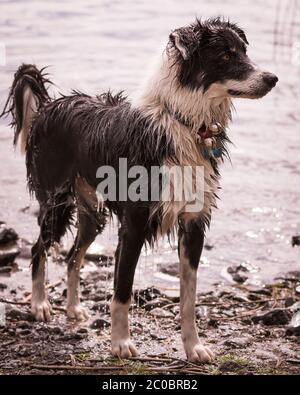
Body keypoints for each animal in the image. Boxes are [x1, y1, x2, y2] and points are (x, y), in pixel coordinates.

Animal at [0, 18, 278, 366]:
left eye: (243, 51)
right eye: (226, 55)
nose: (273, 78)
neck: (185, 124)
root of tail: (50, 105)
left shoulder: (194, 224)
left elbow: (189, 299)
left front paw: (193, 347)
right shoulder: (133, 225)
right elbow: (122, 291)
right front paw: (120, 344)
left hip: (93, 215)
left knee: (73, 256)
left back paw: (74, 308)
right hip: (57, 200)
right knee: (40, 248)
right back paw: (39, 305)